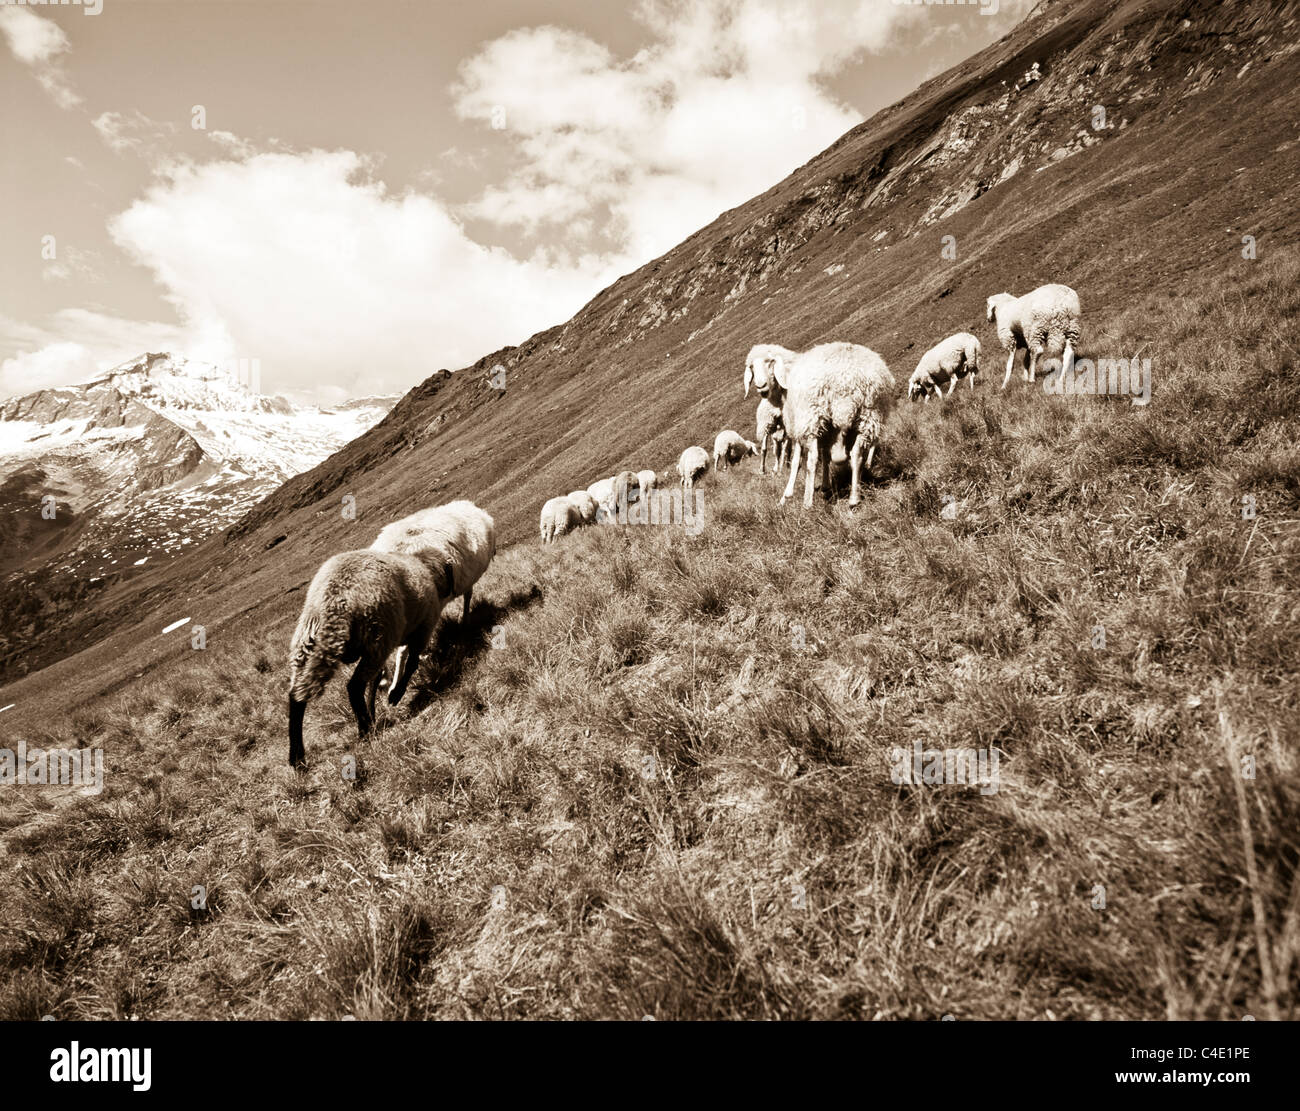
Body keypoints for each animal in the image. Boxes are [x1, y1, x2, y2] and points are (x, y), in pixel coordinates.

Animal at [288, 549, 454, 767]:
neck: (425, 568)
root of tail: (335, 598)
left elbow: (376, 680)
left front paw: (373, 710)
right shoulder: (421, 631)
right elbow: (411, 665)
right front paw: (396, 694)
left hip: (309, 639)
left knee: (297, 696)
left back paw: (296, 756)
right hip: (377, 635)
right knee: (354, 686)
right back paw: (365, 730)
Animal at [776, 342, 896, 509]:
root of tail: (846, 381)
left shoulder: (800, 429)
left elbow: (797, 461)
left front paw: (786, 496)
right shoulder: (828, 433)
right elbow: (826, 457)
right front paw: (826, 486)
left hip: (813, 418)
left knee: (812, 460)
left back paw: (808, 503)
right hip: (869, 416)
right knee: (857, 454)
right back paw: (854, 499)